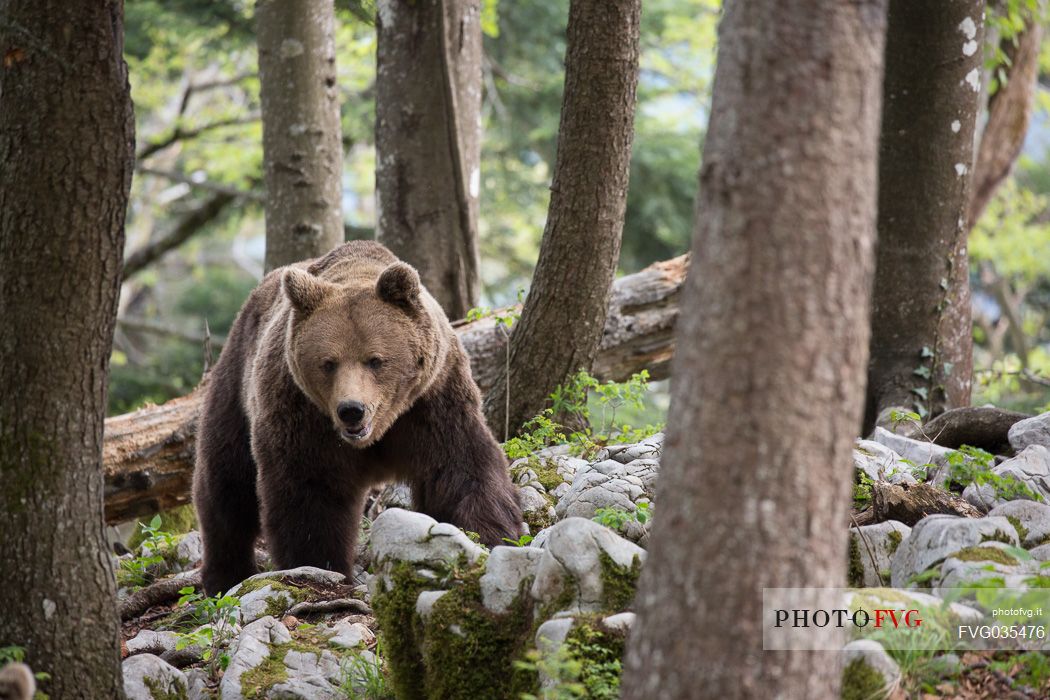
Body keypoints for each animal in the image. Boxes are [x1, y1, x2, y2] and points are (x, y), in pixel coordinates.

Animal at [192, 242, 520, 596]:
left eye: (375, 360)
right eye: (328, 363)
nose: (351, 409)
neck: (380, 431)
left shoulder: (432, 401)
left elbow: (460, 468)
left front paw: (490, 535)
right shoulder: (303, 416)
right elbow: (310, 493)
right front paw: (320, 566)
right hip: (236, 384)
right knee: (226, 485)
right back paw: (224, 575)